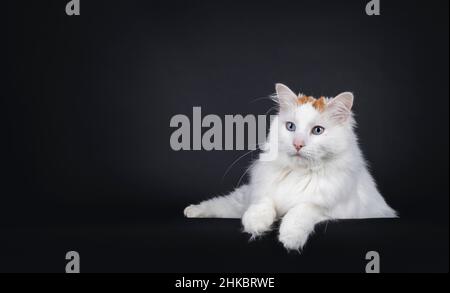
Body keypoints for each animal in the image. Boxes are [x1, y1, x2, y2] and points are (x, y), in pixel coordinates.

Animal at [185, 83, 396, 250]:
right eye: (291, 127)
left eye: (317, 131)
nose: (298, 144)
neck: (299, 174)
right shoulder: (263, 191)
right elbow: (264, 204)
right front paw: (256, 224)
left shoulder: (331, 209)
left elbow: (301, 209)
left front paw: (290, 238)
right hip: (240, 199)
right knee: (219, 204)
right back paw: (191, 211)